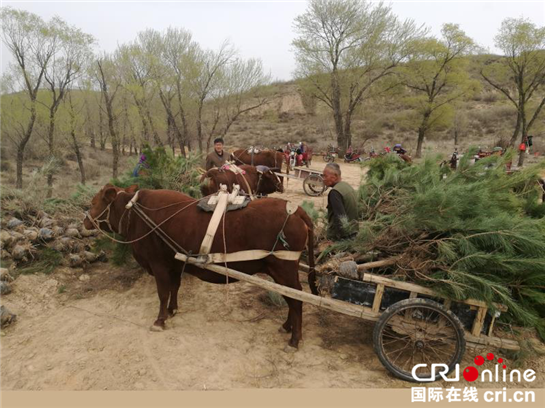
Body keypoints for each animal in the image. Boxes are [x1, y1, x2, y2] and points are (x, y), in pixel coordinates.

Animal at [84, 183, 314, 350]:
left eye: (94, 202)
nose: (84, 220)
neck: (138, 217)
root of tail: (295, 210)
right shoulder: (175, 263)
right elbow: (174, 288)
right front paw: (172, 310)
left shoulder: (158, 265)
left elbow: (163, 293)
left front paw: (160, 320)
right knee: (291, 298)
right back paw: (287, 327)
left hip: (283, 269)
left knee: (296, 299)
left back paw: (294, 339)